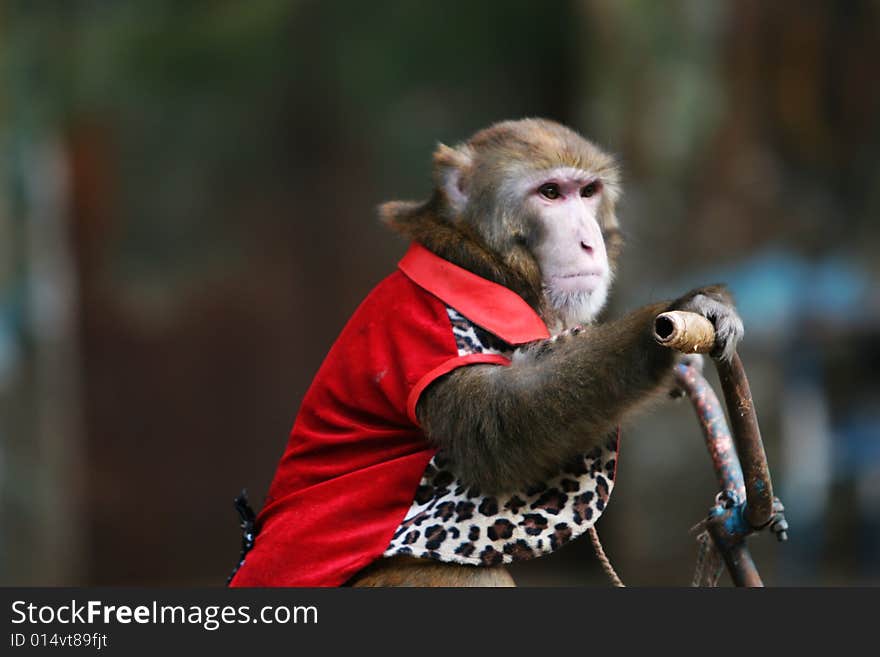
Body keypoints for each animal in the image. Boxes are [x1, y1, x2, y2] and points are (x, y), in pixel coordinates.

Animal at [229, 118, 744, 588]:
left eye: (588, 192)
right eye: (551, 193)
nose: (587, 242)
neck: (479, 263)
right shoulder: (426, 337)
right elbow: (498, 420)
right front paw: (670, 319)